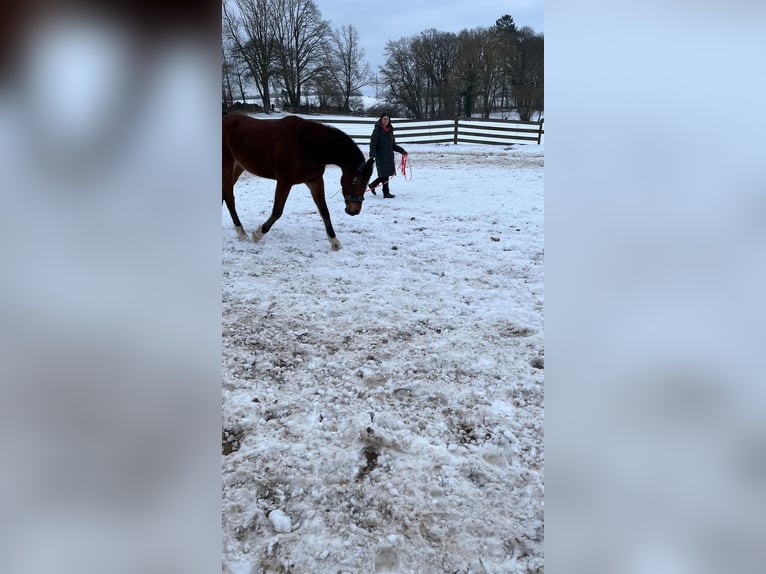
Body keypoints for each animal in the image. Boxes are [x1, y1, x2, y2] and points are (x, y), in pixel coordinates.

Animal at [222, 113, 375, 250]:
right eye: (355, 179)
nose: (354, 210)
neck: (307, 144)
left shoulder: (315, 181)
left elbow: (324, 211)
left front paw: (334, 241)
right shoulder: (285, 181)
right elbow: (277, 211)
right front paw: (258, 234)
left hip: (238, 167)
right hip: (227, 167)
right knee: (229, 198)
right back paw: (241, 232)